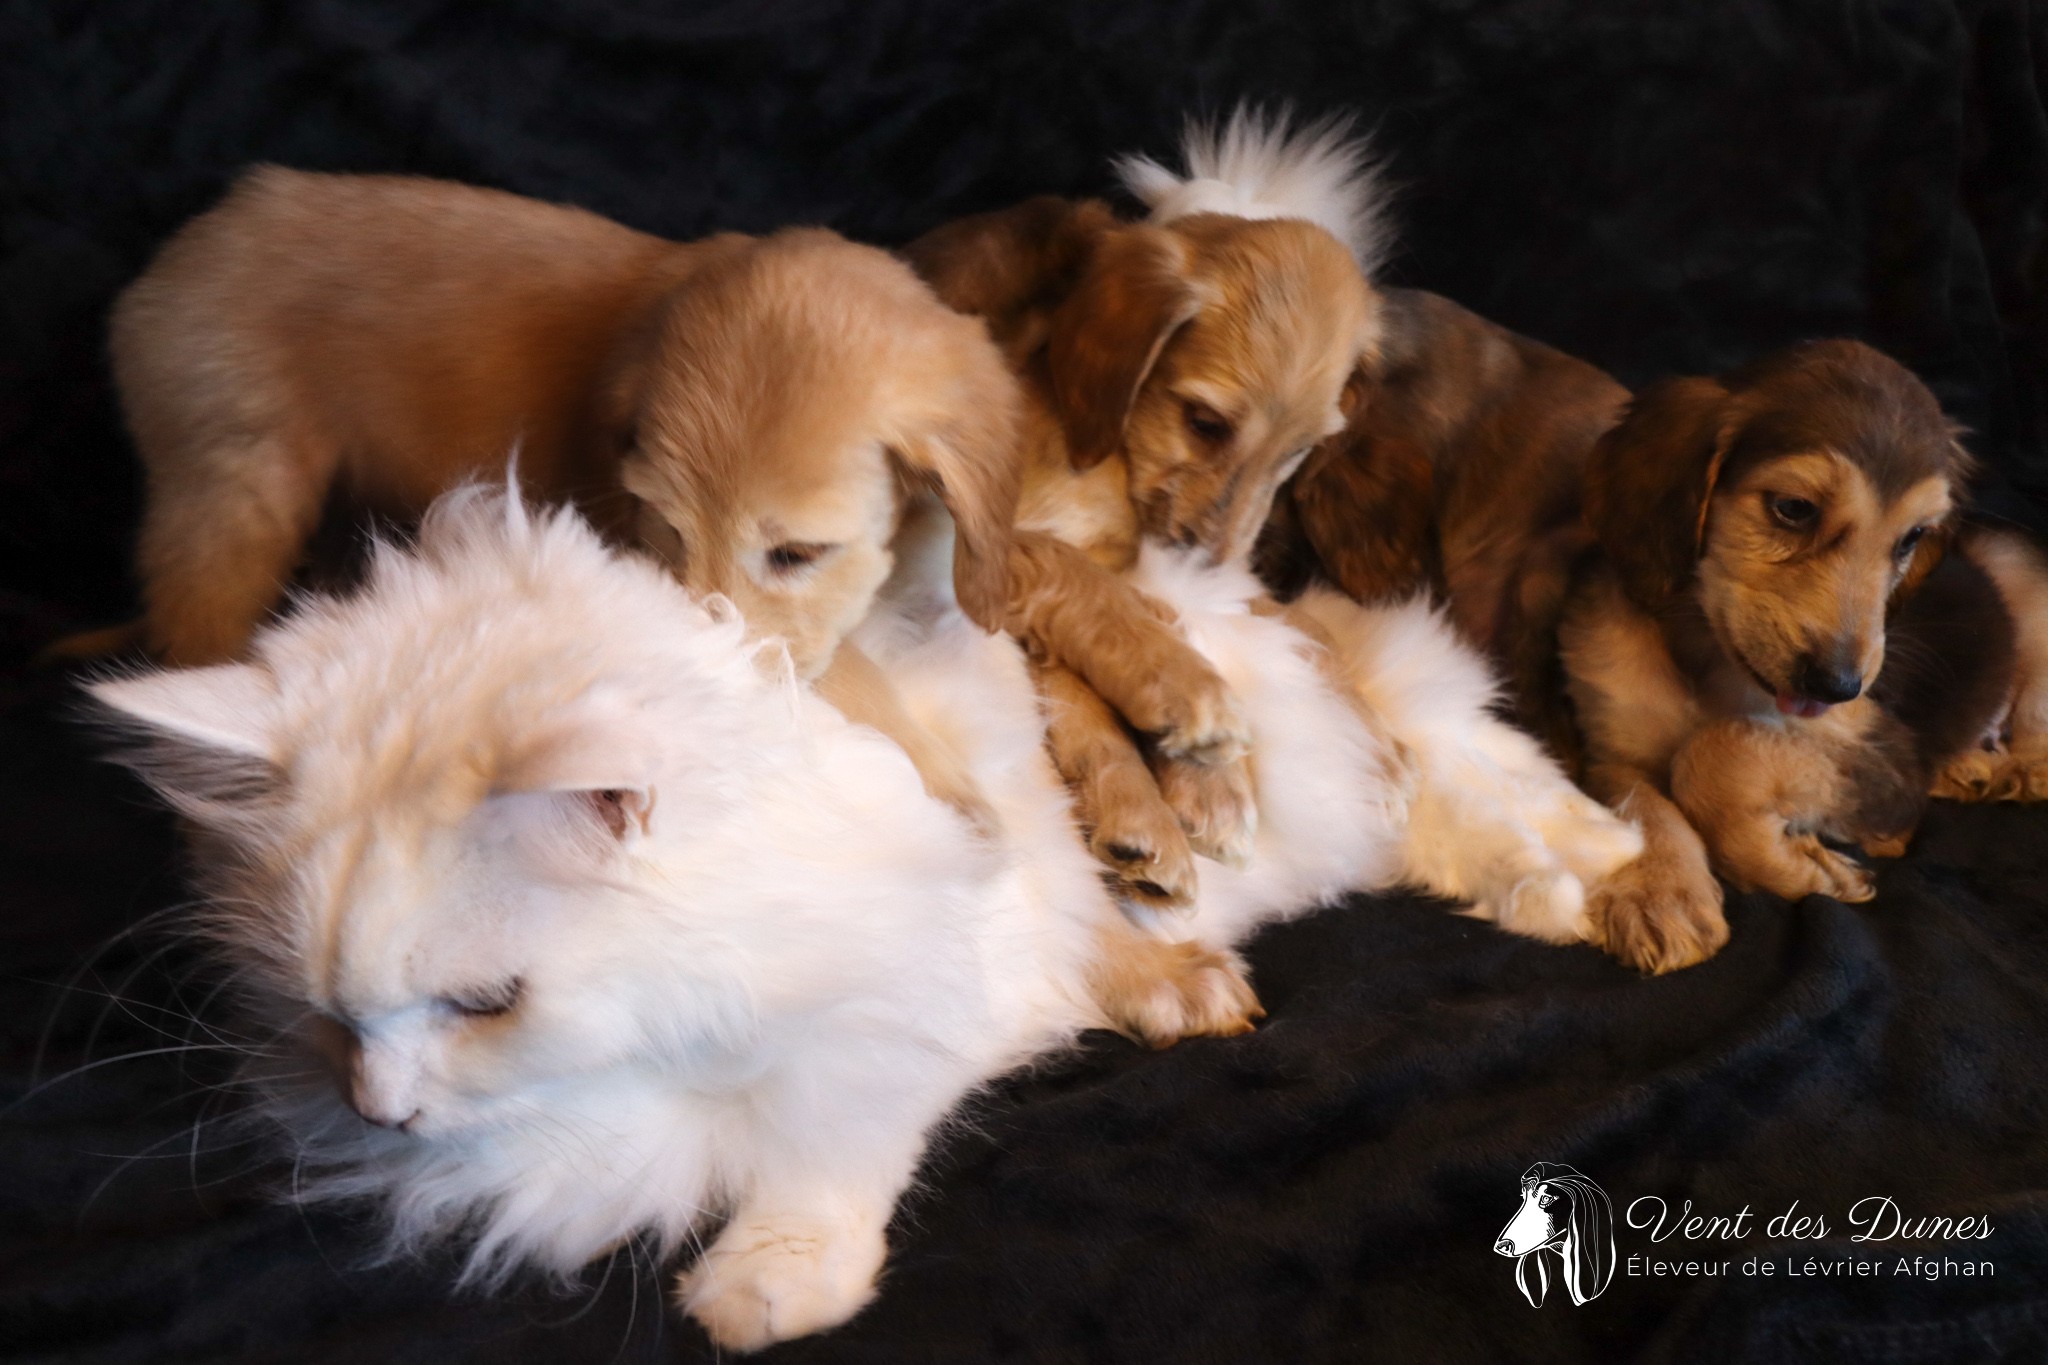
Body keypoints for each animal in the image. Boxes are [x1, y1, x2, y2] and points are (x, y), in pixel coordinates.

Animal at [92, 485, 1630, 1350]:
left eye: (485, 1005)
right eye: (325, 1021)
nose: (381, 1113)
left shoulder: (918, 995)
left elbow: (826, 1140)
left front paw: (764, 1290)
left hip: (1370, 727)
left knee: (1483, 774)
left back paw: (1589, 887)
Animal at [99, 166, 1019, 818]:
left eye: (797, 552)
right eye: (668, 530)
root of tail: (164, 272)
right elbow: (846, 673)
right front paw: (950, 782)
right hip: (236, 497)